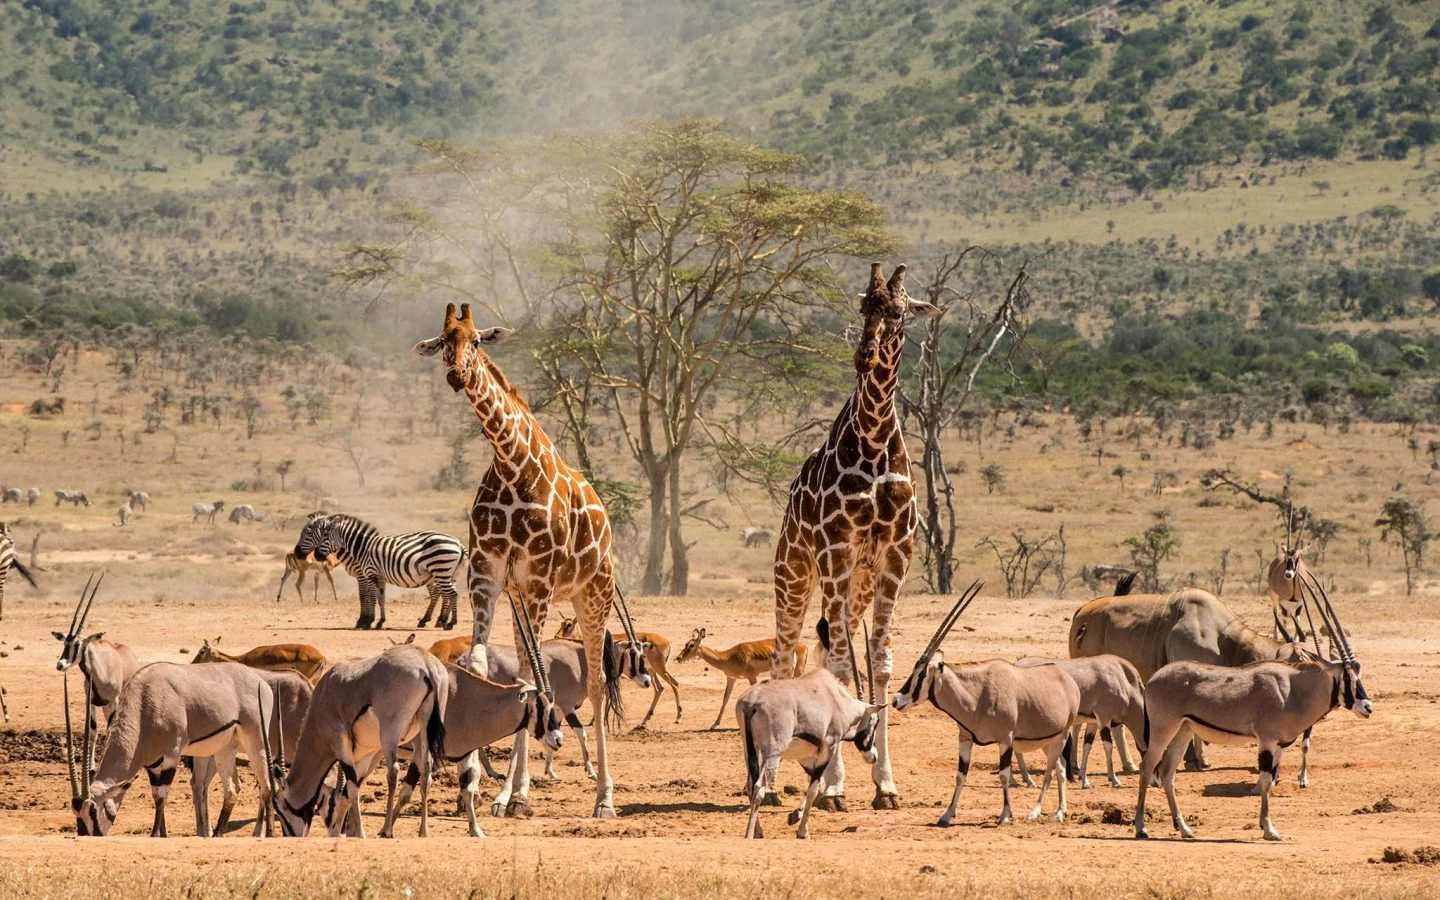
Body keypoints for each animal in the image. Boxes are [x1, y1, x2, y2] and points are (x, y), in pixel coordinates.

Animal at [295, 512, 463, 630]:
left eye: (309, 533)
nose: (297, 553)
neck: (361, 548)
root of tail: (458, 543)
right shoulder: (378, 576)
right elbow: (380, 597)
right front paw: (378, 621)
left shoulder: (366, 574)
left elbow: (367, 596)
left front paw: (365, 621)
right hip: (447, 573)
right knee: (446, 593)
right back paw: (439, 620)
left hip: (440, 570)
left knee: (449, 594)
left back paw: (447, 622)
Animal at [411, 299, 648, 812]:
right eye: (443, 342)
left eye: (477, 339)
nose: (457, 374)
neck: (510, 463)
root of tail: (606, 520)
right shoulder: (486, 575)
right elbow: (483, 666)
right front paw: (476, 786)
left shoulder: (538, 580)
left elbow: (536, 676)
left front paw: (514, 793)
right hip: (529, 594)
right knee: (529, 664)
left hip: (593, 593)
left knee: (596, 683)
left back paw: (604, 797)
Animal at [676, 624, 812, 731]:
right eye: (685, 644)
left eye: (691, 645)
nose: (679, 657)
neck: (729, 657)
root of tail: (804, 646)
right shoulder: (731, 678)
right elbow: (725, 699)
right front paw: (714, 724)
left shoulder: (752, 676)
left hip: (797, 671)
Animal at [771, 263, 938, 812]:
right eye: (864, 304)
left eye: (900, 310)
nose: (864, 354)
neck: (874, 439)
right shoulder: (837, 551)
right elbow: (844, 665)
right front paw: (836, 786)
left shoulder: (896, 556)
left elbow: (879, 663)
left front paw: (885, 784)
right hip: (795, 573)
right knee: (785, 653)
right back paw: (773, 783)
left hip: (856, 585)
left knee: (821, 648)